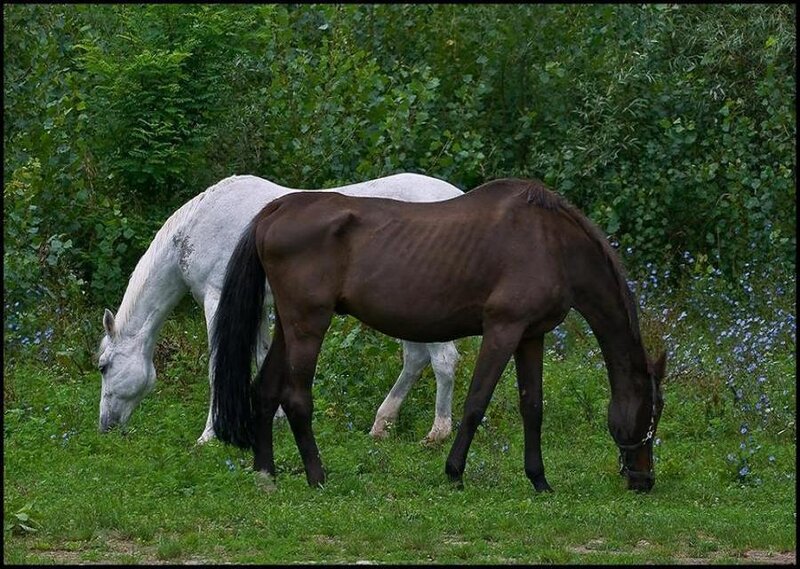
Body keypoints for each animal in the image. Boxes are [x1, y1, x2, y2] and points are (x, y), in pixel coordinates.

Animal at [96, 173, 463, 444]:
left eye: (103, 366)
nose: (105, 426)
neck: (199, 224)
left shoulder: (218, 301)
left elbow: (218, 366)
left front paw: (210, 434)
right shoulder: (257, 308)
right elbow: (262, 358)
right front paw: (276, 419)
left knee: (443, 360)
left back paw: (437, 433)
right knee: (415, 359)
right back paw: (382, 424)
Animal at [211, 177, 666, 493]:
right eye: (651, 412)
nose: (643, 481)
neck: (551, 243)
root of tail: (274, 210)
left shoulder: (529, 337)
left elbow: (532, 407)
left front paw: (539, 480)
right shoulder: (502, 330)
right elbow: (476, 403)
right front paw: (454, 472)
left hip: (290, 326)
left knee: (264, 391)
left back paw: (266, 474)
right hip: (309, 324)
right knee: (296, 398)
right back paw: (317, 476)